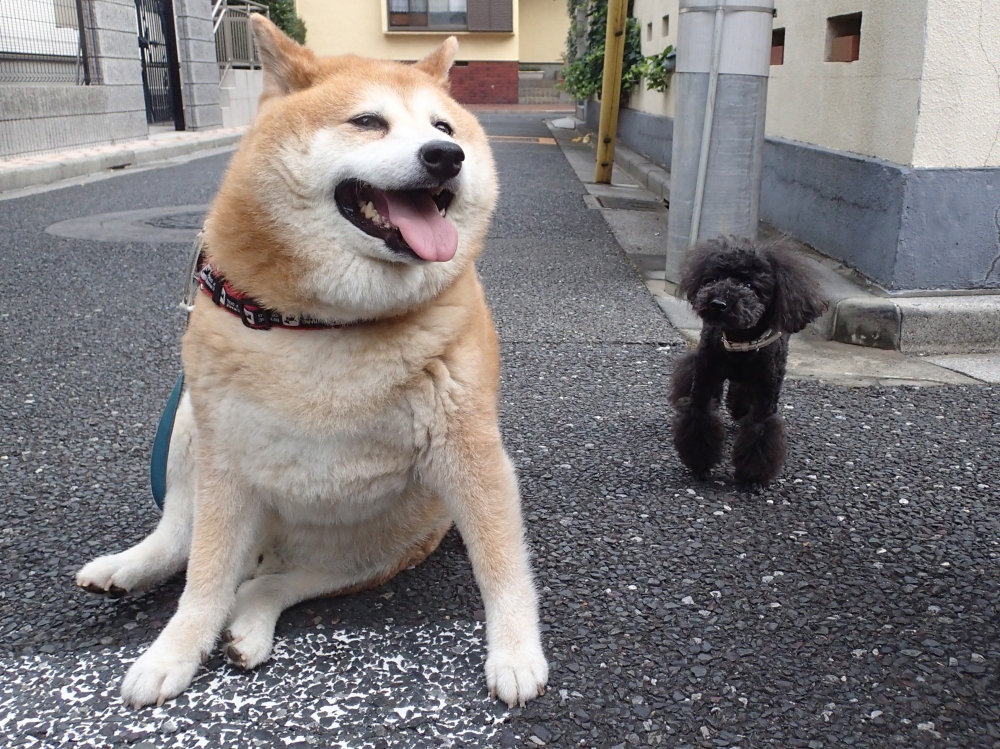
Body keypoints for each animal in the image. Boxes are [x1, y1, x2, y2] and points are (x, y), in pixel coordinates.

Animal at [77, 16, 548, 708]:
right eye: (368, 122)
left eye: (444, 127)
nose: (446, 156)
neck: (325, 323)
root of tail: (269, 551)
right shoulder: (226, 462)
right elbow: (203, 579)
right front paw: (171, 653)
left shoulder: (469, 448)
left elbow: (501, 562)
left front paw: (515, 652)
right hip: (192, 426)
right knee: (185, 537)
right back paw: (130, 567)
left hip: (373, 548)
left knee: (277, 583)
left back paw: (248, 623)